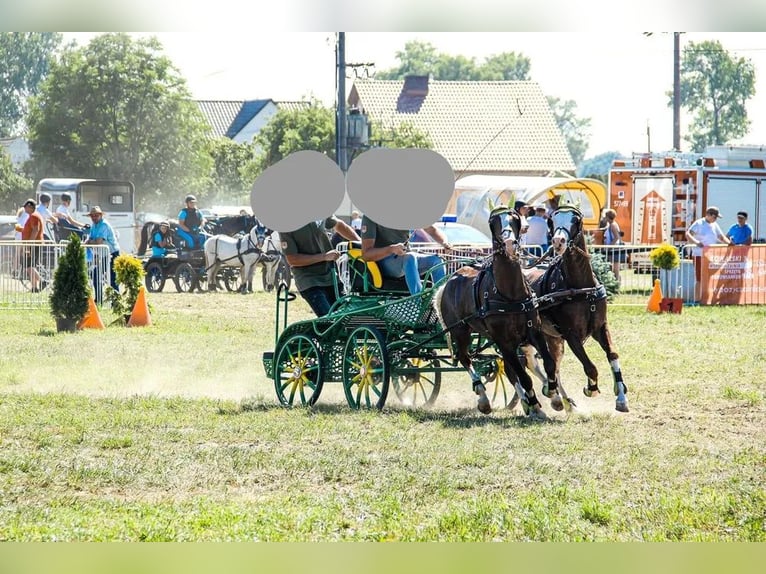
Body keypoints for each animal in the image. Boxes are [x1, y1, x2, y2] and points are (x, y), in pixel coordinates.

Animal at [436, 207, 560, 418]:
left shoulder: (534, 333)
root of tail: (449, 280)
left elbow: (548, 364)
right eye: (494, 223)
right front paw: (536, 404)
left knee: (506, 368)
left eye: (514, 220)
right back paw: (483, 398)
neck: (511, 295)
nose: (510, 244)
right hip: (460, 331)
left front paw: (552, 394)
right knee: (465, 358)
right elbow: (524, 377)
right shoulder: (505, 342)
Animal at [520, 205, 632, 412]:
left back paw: (560, 398)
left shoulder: (600, 327)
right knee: (525, 364)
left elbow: (612, 354)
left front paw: (621, 397)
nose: (557, 241)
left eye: (575, 221)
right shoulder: (571, 334)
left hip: (551, 337)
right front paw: (591, 388)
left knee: (552, 365)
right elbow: (590, 367)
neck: (581, 287)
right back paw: (538, 398)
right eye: (552, 221)